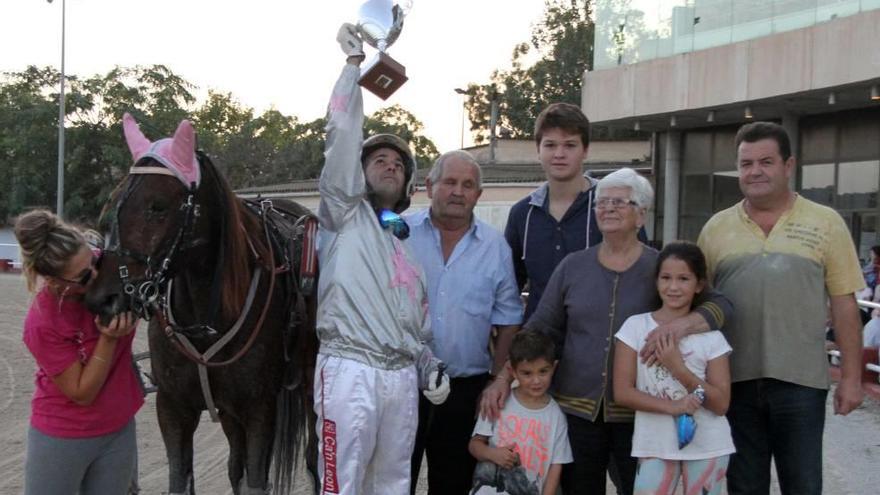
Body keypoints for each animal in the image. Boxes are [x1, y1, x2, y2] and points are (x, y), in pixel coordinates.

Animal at [86, 114, 318, 494]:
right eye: (116, 202)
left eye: (158, 206)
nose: (101, 297)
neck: (207, 318)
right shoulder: (173, 407)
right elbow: (182, 478)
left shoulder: (259, 408)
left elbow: (257, 479)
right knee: (236, 467)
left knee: (314, 459)